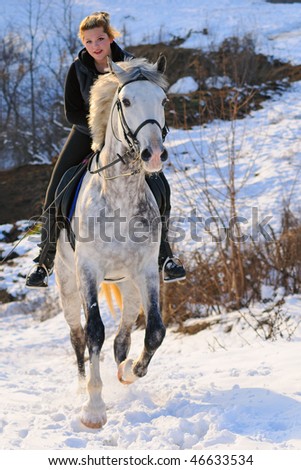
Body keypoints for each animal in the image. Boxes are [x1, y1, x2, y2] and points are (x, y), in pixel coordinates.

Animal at [54, 56, 169, 430]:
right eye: (126, 101)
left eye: (163, 101)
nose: (154, 154)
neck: (119, 196)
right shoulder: (88, 269)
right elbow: (94, 332)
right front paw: (93, 409)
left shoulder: (147, 268)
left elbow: (155, 330)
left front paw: (131, 372)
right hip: (66, 282)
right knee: (77, 335)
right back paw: (80, 386)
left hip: (128, 283)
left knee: (124, 334)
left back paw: (121, 372)